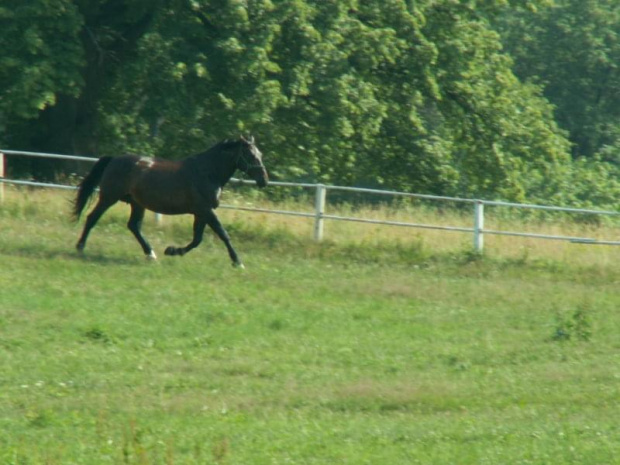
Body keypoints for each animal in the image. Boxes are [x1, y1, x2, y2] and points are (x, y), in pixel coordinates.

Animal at [72, 134, 266, 266]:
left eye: (260, 154)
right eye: (250, 155)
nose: (264, 180)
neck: (207, 172)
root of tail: (114, 159)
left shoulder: (201, 213)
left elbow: (197, 239)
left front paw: (172, 251)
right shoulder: (205, 210)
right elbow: (222, 234)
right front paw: (238, 262)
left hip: (137, 203)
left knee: (134, 226)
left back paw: (151, 254)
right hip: (109, 197)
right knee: (92, 218)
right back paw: (80, 248)